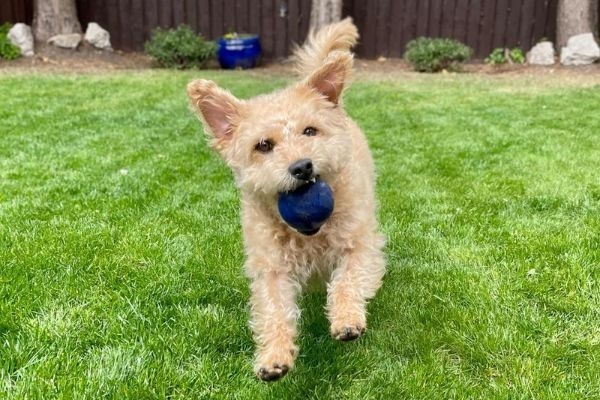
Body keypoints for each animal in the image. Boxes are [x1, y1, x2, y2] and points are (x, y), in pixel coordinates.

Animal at [185, 18, 386, 382]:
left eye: (310, 131)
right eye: (263, 145)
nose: (302, 166)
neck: (308, 233)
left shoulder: (360, 244)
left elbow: (348, 280)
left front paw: (347, 318)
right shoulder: (271, 268)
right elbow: (274, 310)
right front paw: (273, 357)